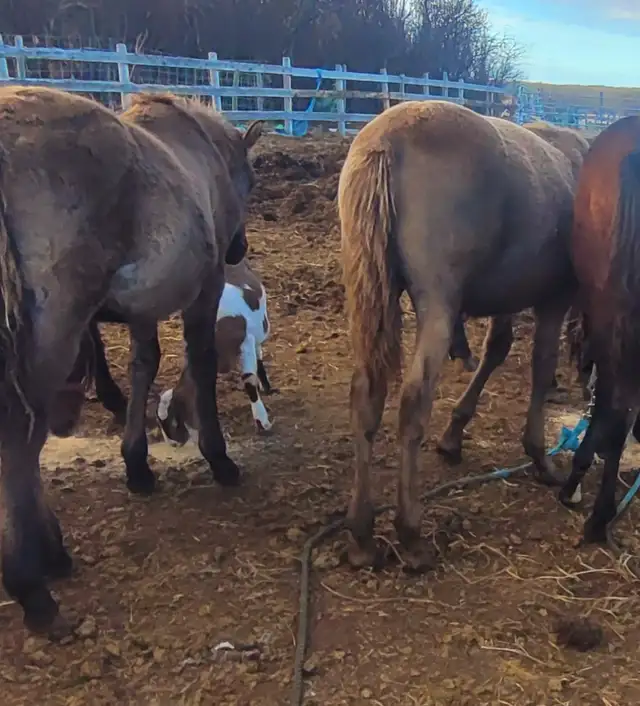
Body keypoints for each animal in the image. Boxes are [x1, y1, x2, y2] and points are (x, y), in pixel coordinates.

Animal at [0, 86, 263, 637]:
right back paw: (34, 580)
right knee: (21, 442)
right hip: (51, 335)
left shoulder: (144, 306)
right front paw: (218, 457)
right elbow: (199, 362)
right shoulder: (203, 289)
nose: (238, 247)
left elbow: (144, 365)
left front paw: (137, 463)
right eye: (250, 181)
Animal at [339, 100, 585, 570]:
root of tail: (386, 140)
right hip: (438, 305)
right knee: (413, 401)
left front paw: (454, 435)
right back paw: (411, 533)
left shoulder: (509, 295)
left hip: (372, 300)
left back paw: (361, 534)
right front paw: (539, 456)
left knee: (366, 396)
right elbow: (541, 365)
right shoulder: (555, 300)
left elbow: (496, 351)